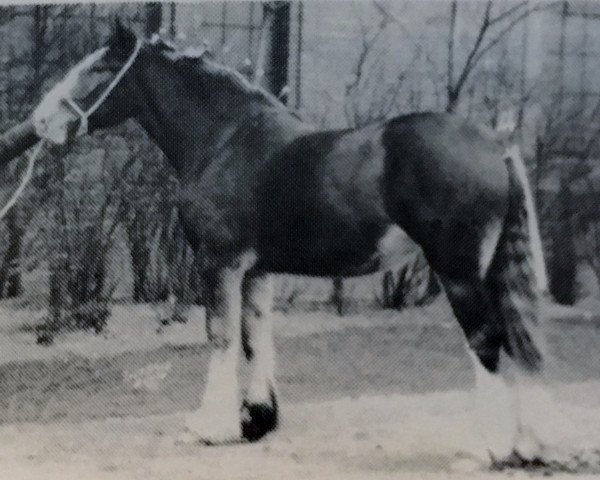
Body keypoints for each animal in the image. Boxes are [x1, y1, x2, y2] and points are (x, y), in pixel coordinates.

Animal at [31, 20, 568, 464]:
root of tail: (494, 143)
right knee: (518, 337)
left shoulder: (219, 263)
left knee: (486, 339)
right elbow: (255, 338)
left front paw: (210, 426)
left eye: (98, 69)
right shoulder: (255, 269)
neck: (226, 137)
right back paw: (527, 444)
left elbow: (221, 336)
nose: (39, 122)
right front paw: (256, 420)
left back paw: (493, 446)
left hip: (457, 272)